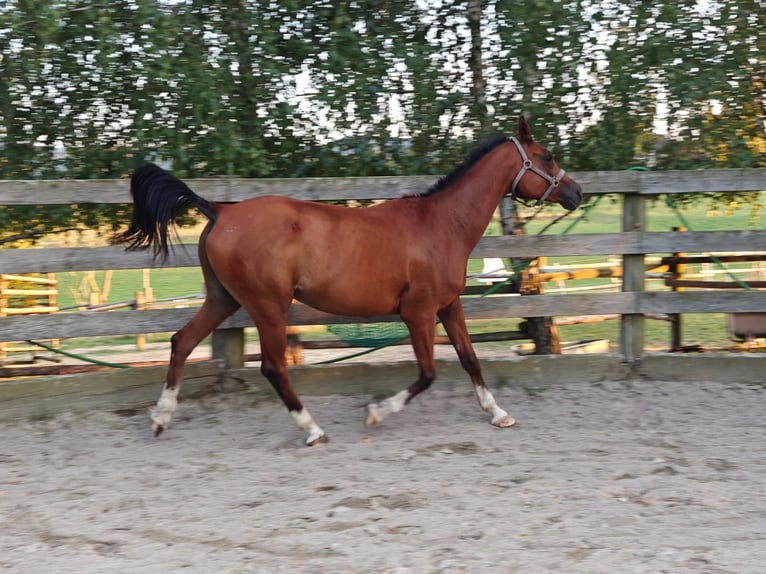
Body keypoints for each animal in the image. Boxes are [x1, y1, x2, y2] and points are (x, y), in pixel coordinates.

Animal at [112, 117, 584, 448]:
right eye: (547, 157)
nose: (576, 193)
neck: (442, 225)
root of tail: (220, 211)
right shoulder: (417, 313)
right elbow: (428, 373)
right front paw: (376, 413)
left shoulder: (450, 305)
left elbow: (470, 360)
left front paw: (498, 412)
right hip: (268, 306)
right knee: (272, 367)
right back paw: (313, 429)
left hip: (224, 298)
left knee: (181, 343)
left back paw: (160, 419)